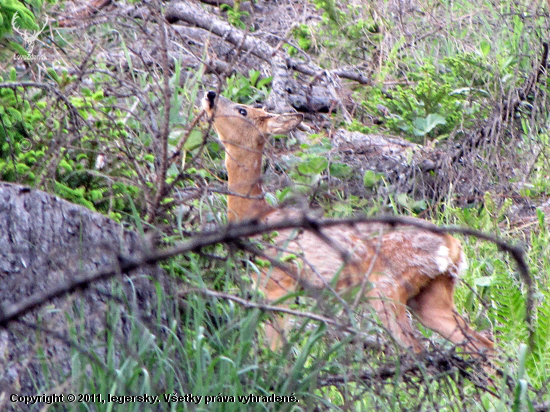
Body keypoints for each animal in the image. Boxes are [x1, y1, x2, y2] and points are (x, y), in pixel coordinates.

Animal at [203, 90, 496, 354]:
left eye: (242, 110)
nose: (210, 95)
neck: (257, 215)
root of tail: (453, 246)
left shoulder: (277, 283)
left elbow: (274, 348)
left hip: (387, 287)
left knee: (416, 349)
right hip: (431, 297)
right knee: (483, 345)